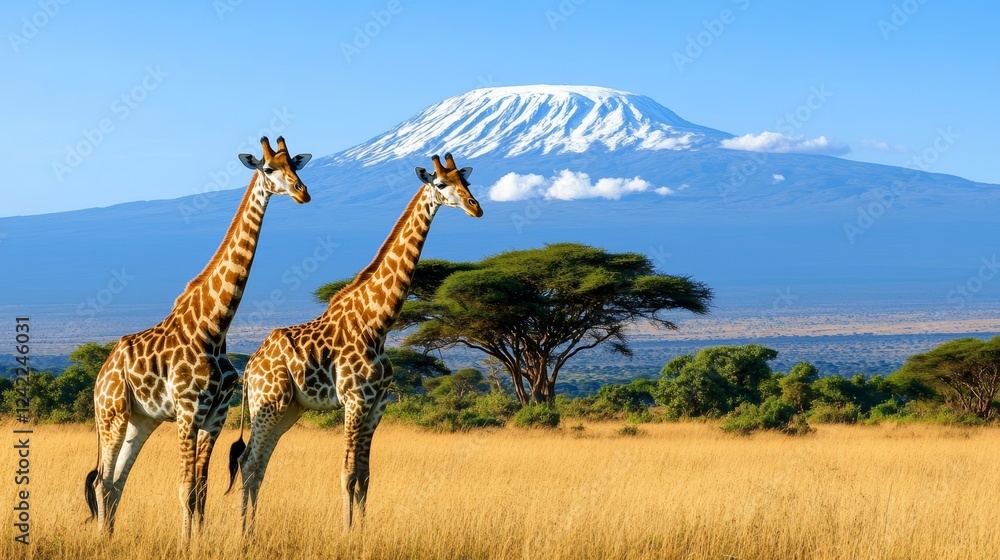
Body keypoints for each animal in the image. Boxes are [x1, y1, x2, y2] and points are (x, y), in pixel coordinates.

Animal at [84, 136, 313, 544]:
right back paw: (100, 541)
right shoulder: (188, 409)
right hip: (111, 413)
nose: (303, 193)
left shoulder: (215, 415)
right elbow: (184, 486)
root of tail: (101, 374)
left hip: (141, 420)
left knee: (116, 482)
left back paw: (109, 539)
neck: (215, 325)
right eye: (270, 168)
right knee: (101, 481)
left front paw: (199, 540)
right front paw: (185, 543)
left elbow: (201, 488)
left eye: (297, 167)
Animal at [228, 153, 482, 536]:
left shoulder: (378, 403)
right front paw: (346, 535)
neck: (377, 322)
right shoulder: (354, 398)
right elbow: (347, 473)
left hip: (289, 408)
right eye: (441, 183)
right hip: (268, 402)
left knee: (259, 463)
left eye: (466, 182)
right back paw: (244, 534)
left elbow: (365, 475)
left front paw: (362, 533)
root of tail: (250, 367)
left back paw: (250, 532)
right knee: (248, 462)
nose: (475, 207)